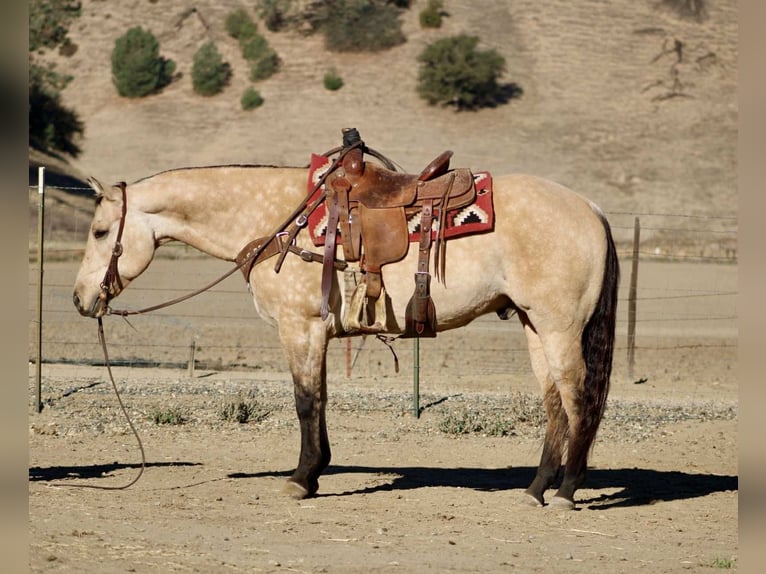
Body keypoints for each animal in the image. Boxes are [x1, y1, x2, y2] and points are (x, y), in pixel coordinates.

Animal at [72, 156, 619, 510]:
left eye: (99, 232)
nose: (80, 300)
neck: (276, 220)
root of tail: (591, 208)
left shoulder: (300, 328)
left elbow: (305, 401)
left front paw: (300, 478)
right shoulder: (318, 334)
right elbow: (321, 399)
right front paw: (315, 473)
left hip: (559, 326)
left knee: (578, 398)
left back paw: (566, 491)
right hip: (533, 324)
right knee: (554, 402)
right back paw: (536, 489)